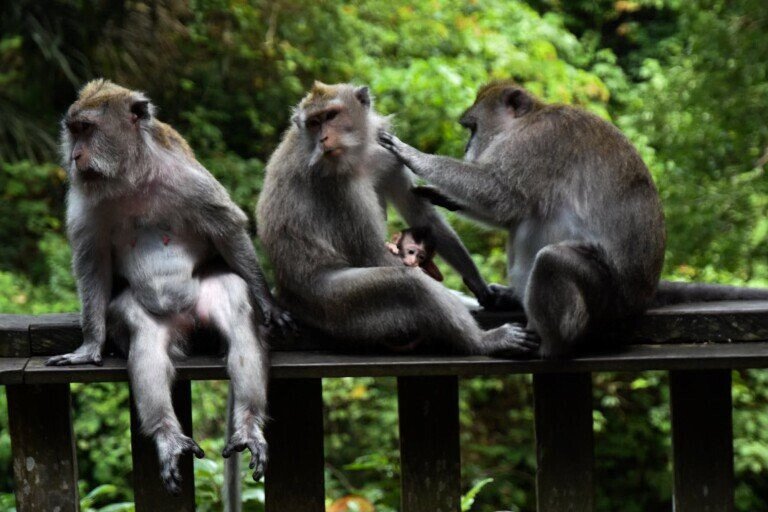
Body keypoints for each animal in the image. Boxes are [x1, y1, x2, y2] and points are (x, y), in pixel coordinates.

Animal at [45, 79, 293, 494]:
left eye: (87, 129)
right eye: (74, 131)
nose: (75, 156)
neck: (131, 177)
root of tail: (188, 321)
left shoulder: (188, 178)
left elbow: (227, 228)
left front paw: (268, 301)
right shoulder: (85, 200)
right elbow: (92, 264)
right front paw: (90, 344)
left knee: (235, 306)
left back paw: (248, 424)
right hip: (150, 316)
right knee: (143, 331)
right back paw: (167, 434)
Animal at [256, 81, 538, 356]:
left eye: (331, 115)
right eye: (314, 123)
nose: (323, 138)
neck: (359, 154)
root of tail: (287, 293)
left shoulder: (386, 156)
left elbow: (423, 216)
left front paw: (480, 286)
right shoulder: (337, 183)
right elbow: (371, 253)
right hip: (331, 304)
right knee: (409, 284)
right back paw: (482, 342)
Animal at [379, 80, 768, 359]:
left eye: (472, 128)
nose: (466, 148)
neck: (529, 120)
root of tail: (644, 295)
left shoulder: (536, 143)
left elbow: (502, 197)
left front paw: (415, 155)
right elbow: (509, 210)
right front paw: (443, 195)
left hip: (606, 299)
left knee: (554, 259)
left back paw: (552, 345)